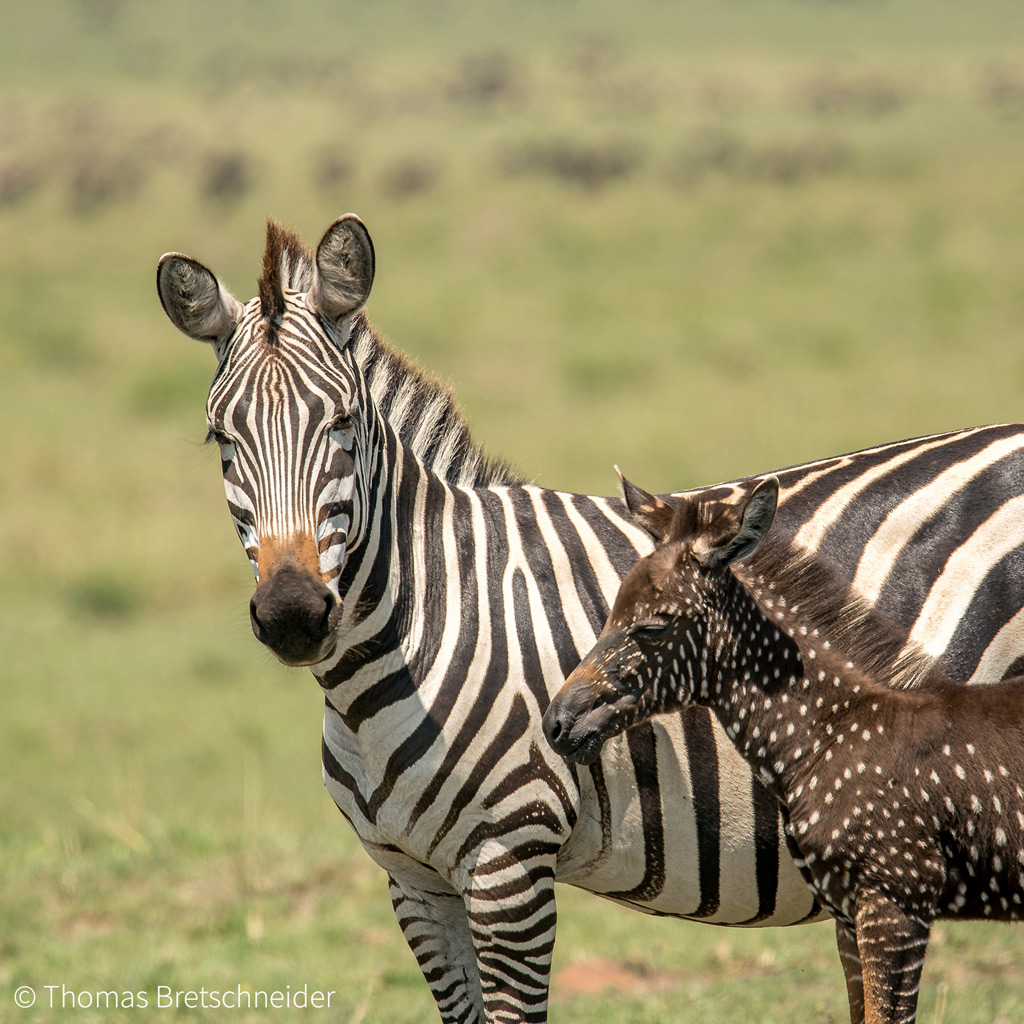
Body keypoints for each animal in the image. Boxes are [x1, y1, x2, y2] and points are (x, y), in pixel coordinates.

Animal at [548, 475, 1024, 1024]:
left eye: (652, 627)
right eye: (608, 616)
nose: (556, 723)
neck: (836, 731)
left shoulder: (897, 902)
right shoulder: (849, 910)